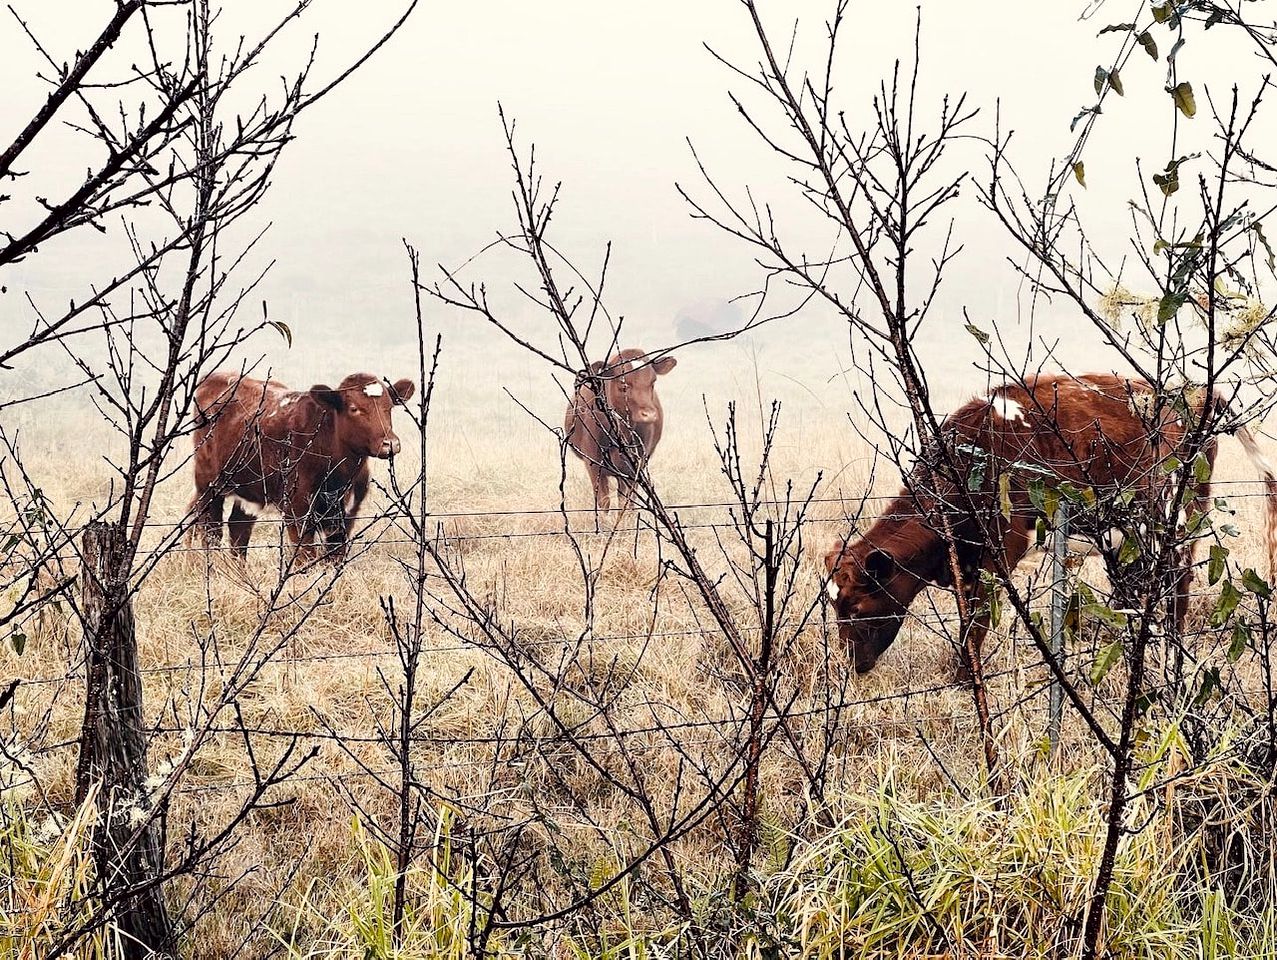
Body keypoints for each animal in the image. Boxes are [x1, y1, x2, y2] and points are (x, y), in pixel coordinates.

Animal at [187, 370, 413, 561]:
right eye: (354, 409)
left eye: (389, 407)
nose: (390, 443)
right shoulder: (297, 510)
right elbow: (305, 556)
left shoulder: (348, 514)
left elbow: (335, 557)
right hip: (208, 482)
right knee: (211, 529)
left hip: (249, 488)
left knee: (238, 528)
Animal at [561, 344, 674, 510]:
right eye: (623, 385)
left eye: (652, 382)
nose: (649, 414)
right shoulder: (593, 464)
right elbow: (604, 502)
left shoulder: (637, 467)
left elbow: (627, 503)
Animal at [822, 375, 1271, 674]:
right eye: (834, 608)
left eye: (857, 606)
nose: (851, 667)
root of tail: (1193, 390)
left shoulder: (1003, 544)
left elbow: (978, 618)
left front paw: (966, 676)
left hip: (1175, 512)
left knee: (1178, 580)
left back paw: (1172, 653)